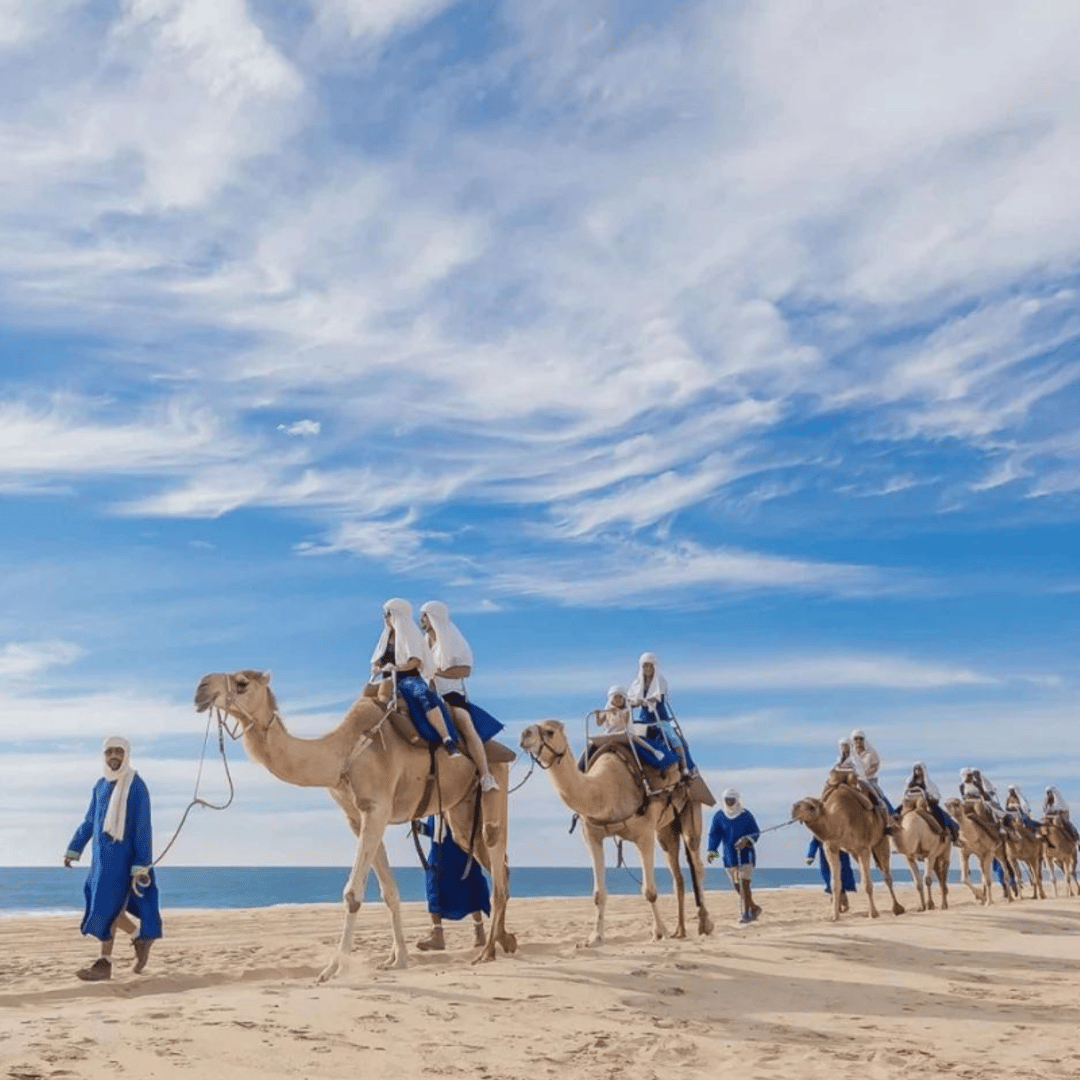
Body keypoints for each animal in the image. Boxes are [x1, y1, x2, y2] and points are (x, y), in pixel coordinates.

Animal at [194, 670, 516, 979]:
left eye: (242, 683)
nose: (200, 689)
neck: (345, 752)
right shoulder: (358, 817)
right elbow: (389, 892)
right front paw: (398, 959)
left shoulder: (376, 810)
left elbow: (352, 894)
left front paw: (333, 969)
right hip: (460, 812)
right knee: (497, 864)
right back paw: (505, 941)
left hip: (494, 783)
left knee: (495, 858)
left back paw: (487, 951)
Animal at [519, 720, 713, 945]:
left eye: (549, 731)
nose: (524, 734)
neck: (607, 790)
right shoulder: (591, 835)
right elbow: (599, 893)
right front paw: (594, 937)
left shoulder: (644, 834)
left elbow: (650, 891)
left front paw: (659, 932)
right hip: (666, 828)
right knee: (677, 873)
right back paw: (679, 930)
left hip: (692, 804)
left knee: (697, 862)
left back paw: (705, 924)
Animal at [792, 771, 905, 921]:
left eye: (811, 806)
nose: (794, 808)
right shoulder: (831, 847)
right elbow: (835, 883)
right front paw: (834, 916)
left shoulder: (864, 847)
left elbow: (867, 884)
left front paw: (873, 914)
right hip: (854, 851)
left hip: (881, 841)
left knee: (887, 874)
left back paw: (897, 908)